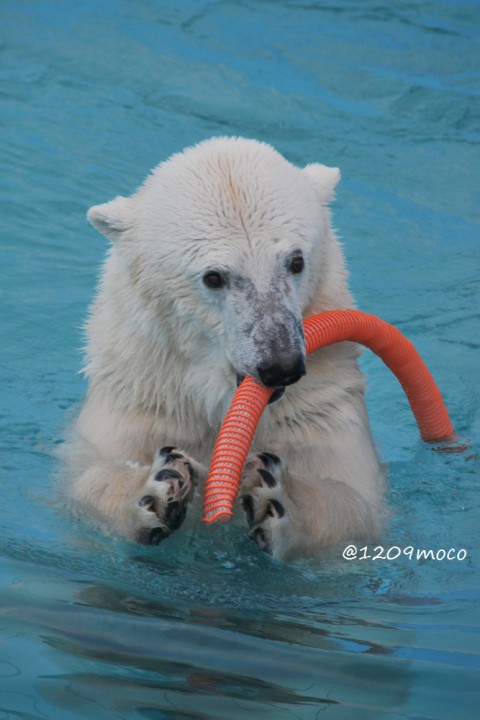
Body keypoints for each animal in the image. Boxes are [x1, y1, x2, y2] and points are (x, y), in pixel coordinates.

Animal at [69, 136, 386, 564]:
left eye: (296, 261)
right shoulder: (143, 396)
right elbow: (86, 482)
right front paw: (158, 490)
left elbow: (356, 505)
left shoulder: (320, 403)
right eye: (214, 276)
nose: (281, 364)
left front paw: (273, 494)